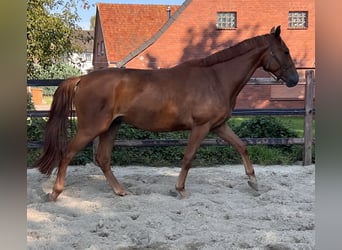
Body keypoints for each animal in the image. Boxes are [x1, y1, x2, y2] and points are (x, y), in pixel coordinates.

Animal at [34, 25, 296, 201]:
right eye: (284, 51)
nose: (294, 79)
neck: (215, 78)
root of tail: (82, 78)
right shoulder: (201, 127)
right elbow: (189, 157)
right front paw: (180, 190)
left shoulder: (218, 126)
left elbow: (242, 146)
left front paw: (253, 182)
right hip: (92, 128)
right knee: (67, 153)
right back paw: (55, 193)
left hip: (111, 127)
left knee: (103, 159)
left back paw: (120, 191)